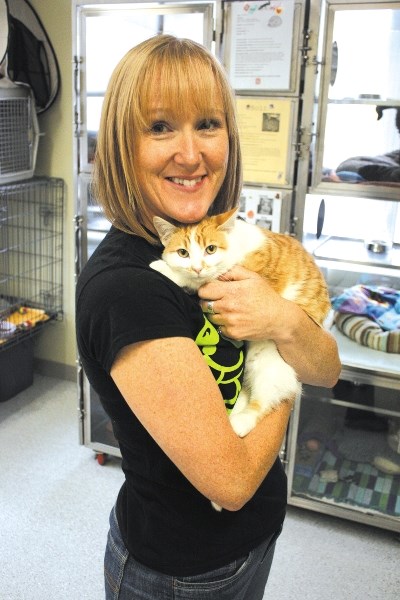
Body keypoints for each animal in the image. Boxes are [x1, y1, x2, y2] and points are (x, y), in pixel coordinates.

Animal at [148, 209, 330, 438]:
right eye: (183, 253)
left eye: (210, 249)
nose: (197, 268)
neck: (234, 245)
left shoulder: (240, 277)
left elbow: (203, 280)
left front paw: (164, 268)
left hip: (268, 364)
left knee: (263, 401)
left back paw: (240, 422)